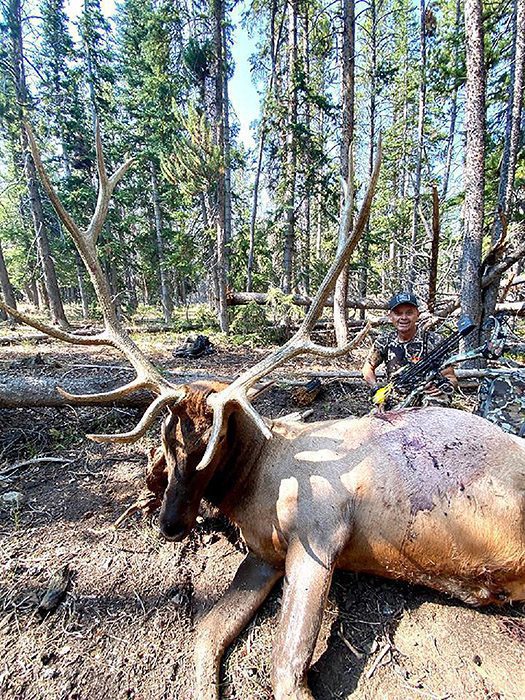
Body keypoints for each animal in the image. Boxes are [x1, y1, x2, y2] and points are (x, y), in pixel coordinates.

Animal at [2, 124, 524, 700]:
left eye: (210, 445)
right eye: (166, 440)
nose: (170, 524)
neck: (252, 487)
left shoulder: (320, 535)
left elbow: (287, 670)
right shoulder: (263, 553)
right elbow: (204, 640)